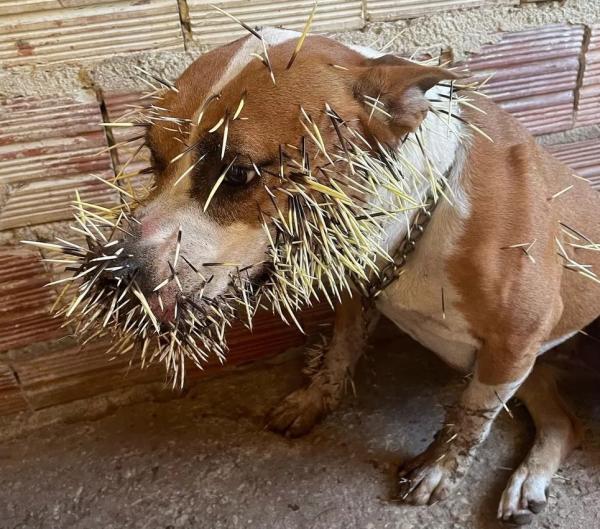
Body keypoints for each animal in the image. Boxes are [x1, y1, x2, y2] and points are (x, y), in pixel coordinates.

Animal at [124, 28, 596, 524]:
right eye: (153, 157)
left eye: (237, 174)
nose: (117, 272)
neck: (424, 210)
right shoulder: (359, 292)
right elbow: (339, 352)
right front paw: (314, 399)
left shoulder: (515, 342)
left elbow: (470, 418)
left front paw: (439, 467)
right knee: (565, 422)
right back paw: (529, 481)